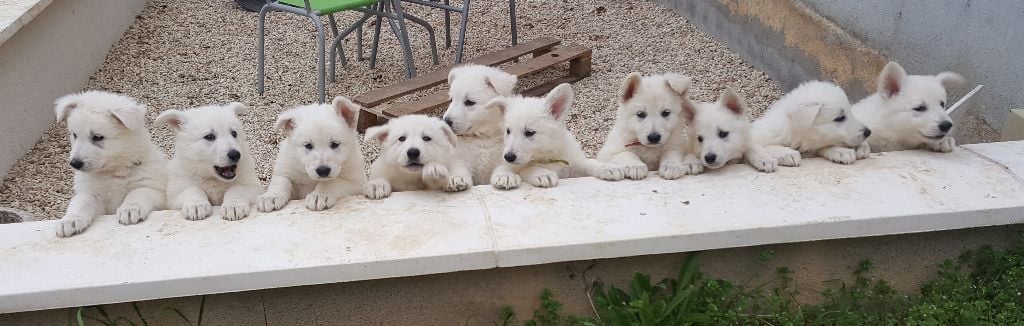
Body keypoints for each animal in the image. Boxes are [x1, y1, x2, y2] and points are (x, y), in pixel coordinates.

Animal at [52, 91, 165, 236]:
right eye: (75, 135)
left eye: (97, 137)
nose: (75, 163)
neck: (113, 172)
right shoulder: (91, 194)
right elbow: (81, 202)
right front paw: (70, 220)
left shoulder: (153, 188)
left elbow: (138, 192)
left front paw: (130, 209)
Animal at [485, 83, 622, 188]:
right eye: (508, 131)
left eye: (529, 132)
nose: (508, 157)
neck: (546, 157)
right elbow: (521, 169)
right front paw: (540, 174)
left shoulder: (572, 167)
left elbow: (586, 163)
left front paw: (607, 167)